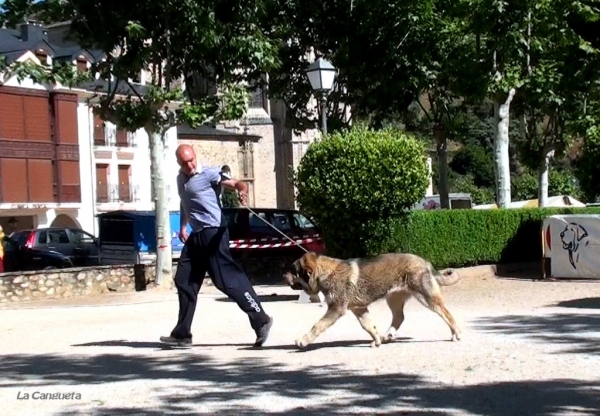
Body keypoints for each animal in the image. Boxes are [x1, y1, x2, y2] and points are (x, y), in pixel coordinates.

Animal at [284, 252, 462, 350]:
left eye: (293, 271)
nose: (283, 275)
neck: (326, 273)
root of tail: (424, 261)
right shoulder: (359, 309)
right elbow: (368, 326)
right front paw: (376, 340)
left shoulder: (336, 309)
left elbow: (317, 325)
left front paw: (303, 341)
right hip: (393, 299)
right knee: (399, 317)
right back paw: (387, 336)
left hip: (426, 298)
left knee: (446, 314)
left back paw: (456, 333)